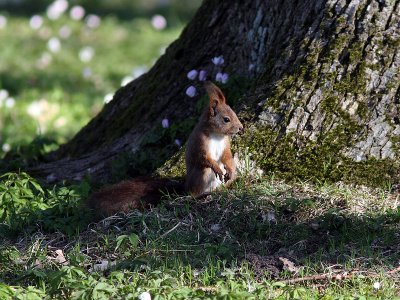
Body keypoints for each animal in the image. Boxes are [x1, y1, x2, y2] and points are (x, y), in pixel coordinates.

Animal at [87, 82, 242, 216]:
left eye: (234, 113)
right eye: (226, 119)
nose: (241, 128)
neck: (217, 135)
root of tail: (185, 186)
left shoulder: (225, 145)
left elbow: (227, 156)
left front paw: (229, 170)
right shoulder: (200, 143)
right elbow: (203, 158)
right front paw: (217, 168)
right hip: (201, 175)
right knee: (194, 191)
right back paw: (202, 194)